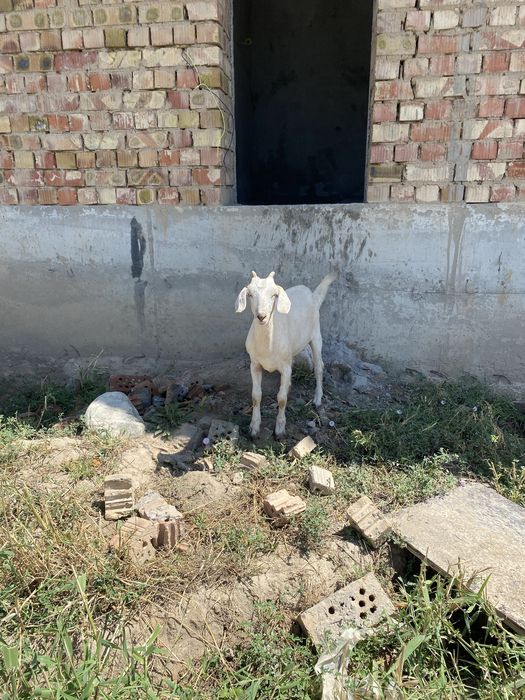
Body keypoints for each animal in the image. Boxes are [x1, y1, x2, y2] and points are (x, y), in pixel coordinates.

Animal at [235, 270, 337, 437]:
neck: (268, 345)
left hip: (315, 335)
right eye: (250, 294)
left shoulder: (284, 366)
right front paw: (254, 427)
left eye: (274, 295)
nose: (261, 316)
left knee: (319, 367)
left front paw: (280, 428)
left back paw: (317, 399)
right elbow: (256, 396)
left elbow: (282, 398)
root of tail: (313, 295)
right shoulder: (254, 364)